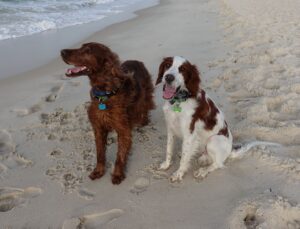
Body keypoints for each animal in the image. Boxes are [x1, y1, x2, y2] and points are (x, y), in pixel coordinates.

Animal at [61, 42, 155, 184]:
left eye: (87, 50)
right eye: (81, 46)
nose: (62, 52)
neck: (104, 95)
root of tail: (136, 61)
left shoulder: (122, 129)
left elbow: (120, 155)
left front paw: (117, 174)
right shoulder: (98, 127)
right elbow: (100, 154)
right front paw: (98, 171)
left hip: (145, 96)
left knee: (145, 108)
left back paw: (143, 122)